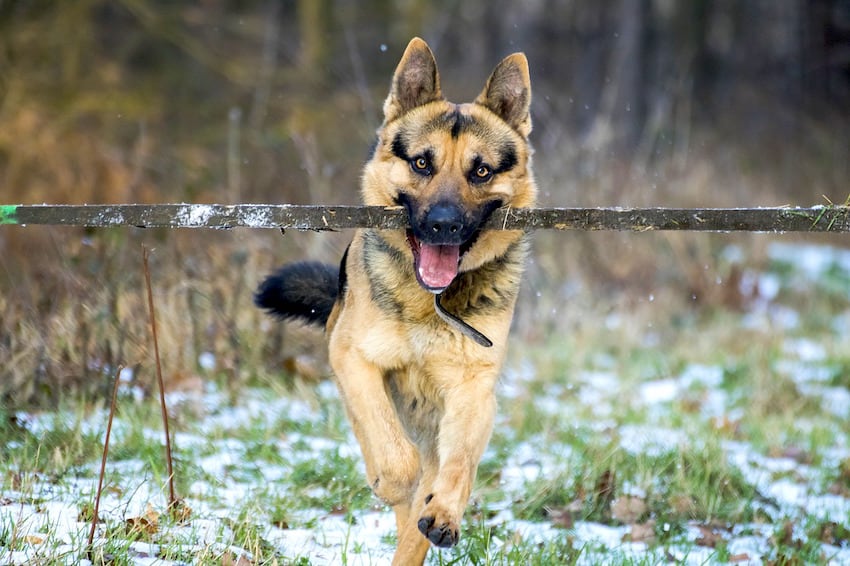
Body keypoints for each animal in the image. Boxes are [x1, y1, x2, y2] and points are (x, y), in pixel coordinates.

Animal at [252, 37, 540, 564]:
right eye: (422, 163)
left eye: (481, 170)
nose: (443, 225)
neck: (430, 302)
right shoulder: (354, 359)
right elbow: (393, 453)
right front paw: (391, 482)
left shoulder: (474, 391)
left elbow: (458, 465)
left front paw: (443, 512)